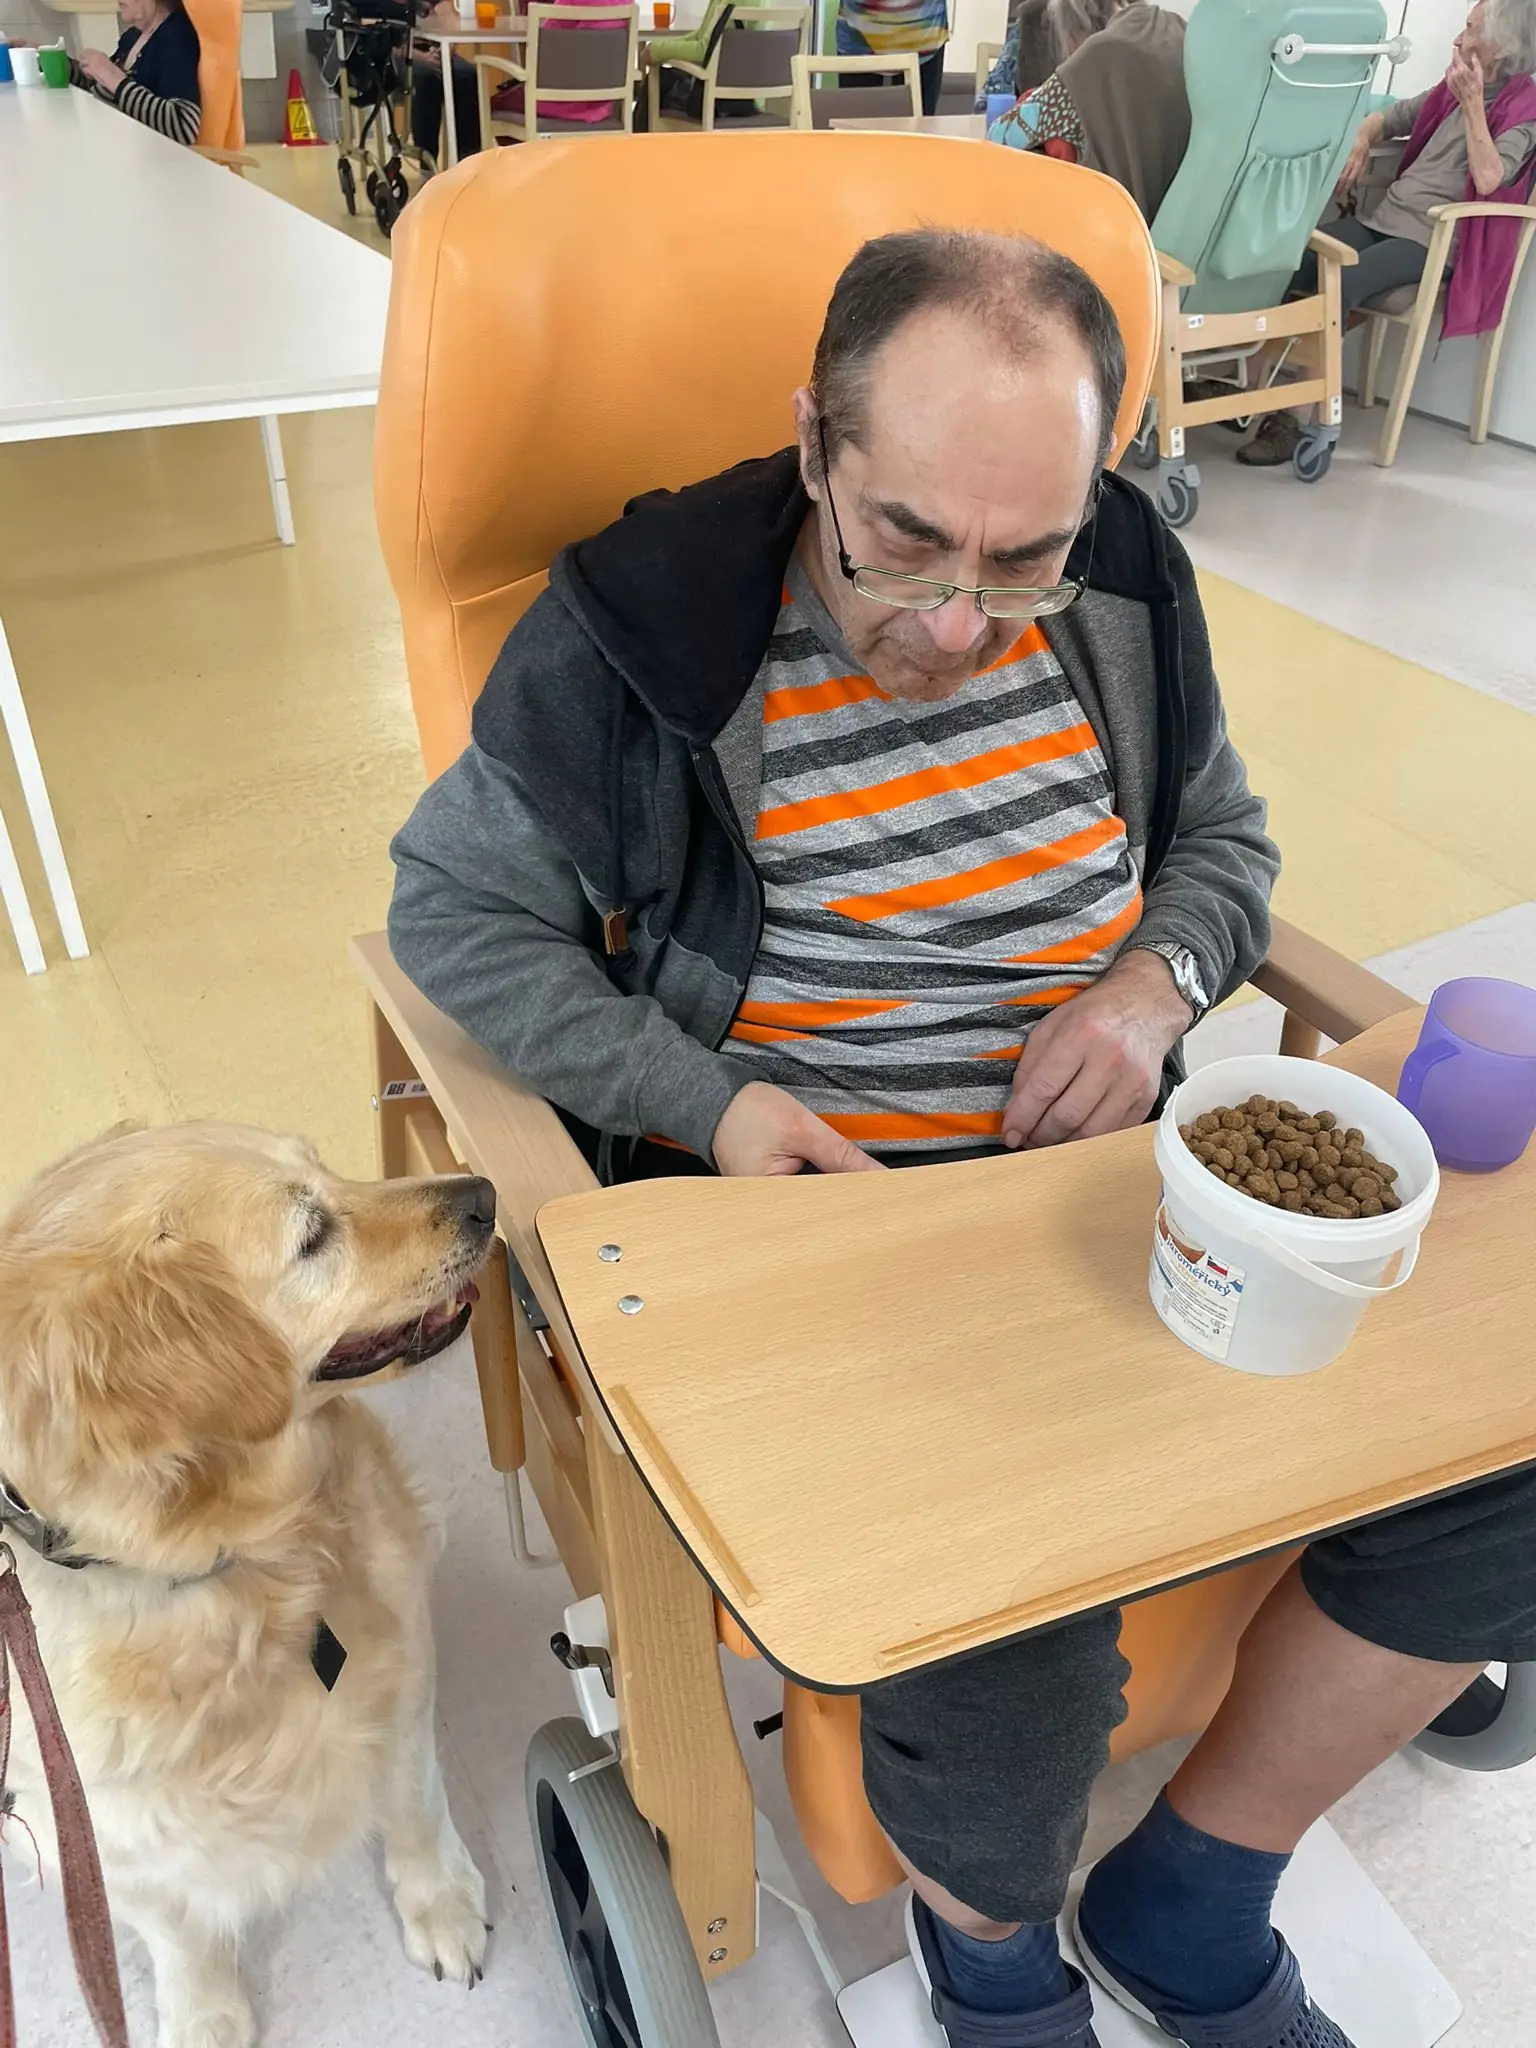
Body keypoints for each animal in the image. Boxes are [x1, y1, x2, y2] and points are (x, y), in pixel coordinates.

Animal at [0, 1122, 495, 2048]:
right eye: (312, 1237)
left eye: (327, 1170)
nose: (483, 1196)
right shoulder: (99, 1828)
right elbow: (177, 1929)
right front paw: (204, 2015)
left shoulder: (403, 1665)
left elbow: (413, 1798)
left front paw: (441, 1904)